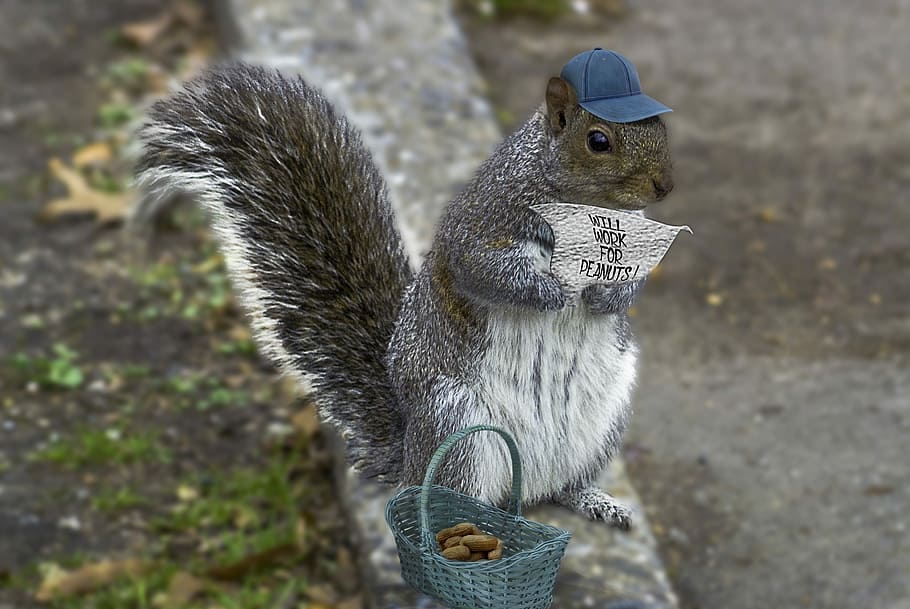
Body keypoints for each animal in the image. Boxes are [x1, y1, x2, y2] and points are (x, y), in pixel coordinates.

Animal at [136, 55, 673, 530]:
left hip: (600, 424)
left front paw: (604, 297)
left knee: (560, 488)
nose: (665, 186)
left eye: (662, 129)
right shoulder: (483, 224)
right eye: (598, 140)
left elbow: (634, 283)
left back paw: (593, 501)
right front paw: (553, 293)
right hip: (458, 430)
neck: (588, 214)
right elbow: (486, 271)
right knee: (447, 497)